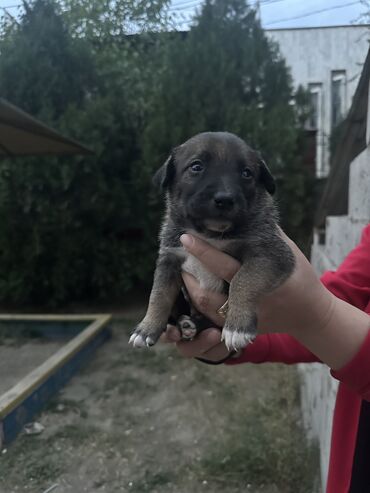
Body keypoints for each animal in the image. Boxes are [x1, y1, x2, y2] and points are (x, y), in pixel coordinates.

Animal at [130, 131, 294, 350]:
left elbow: (243, 279)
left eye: (247, 173)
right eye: (196, 167)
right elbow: (158, 294)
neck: (209, 234)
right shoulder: (169, 258)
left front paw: (238, 326)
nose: (225, 199)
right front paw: (147, 327)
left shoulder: (269, 253)